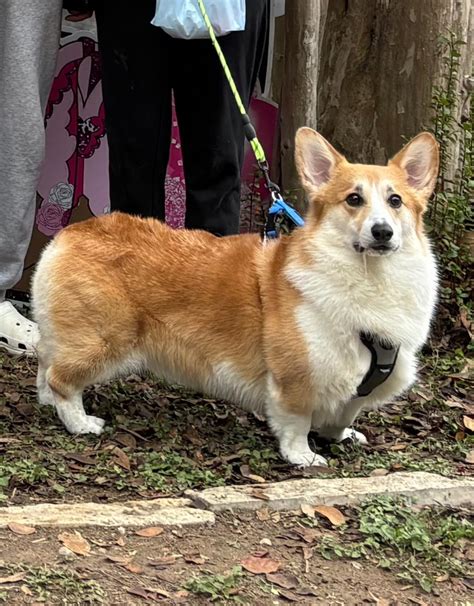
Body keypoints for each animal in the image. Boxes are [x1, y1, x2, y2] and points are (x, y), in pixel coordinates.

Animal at [32, 131, 440, 468]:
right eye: (354, 199)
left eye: (396, 201)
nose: (382, 232)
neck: (370, 276)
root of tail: (70, 233)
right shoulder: (295, 379)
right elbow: (296, 421)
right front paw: (303, 456)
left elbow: (344, 414)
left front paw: (340, 436)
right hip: (105, 341)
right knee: (61, 378)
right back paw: (81, 423)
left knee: (45, 362)